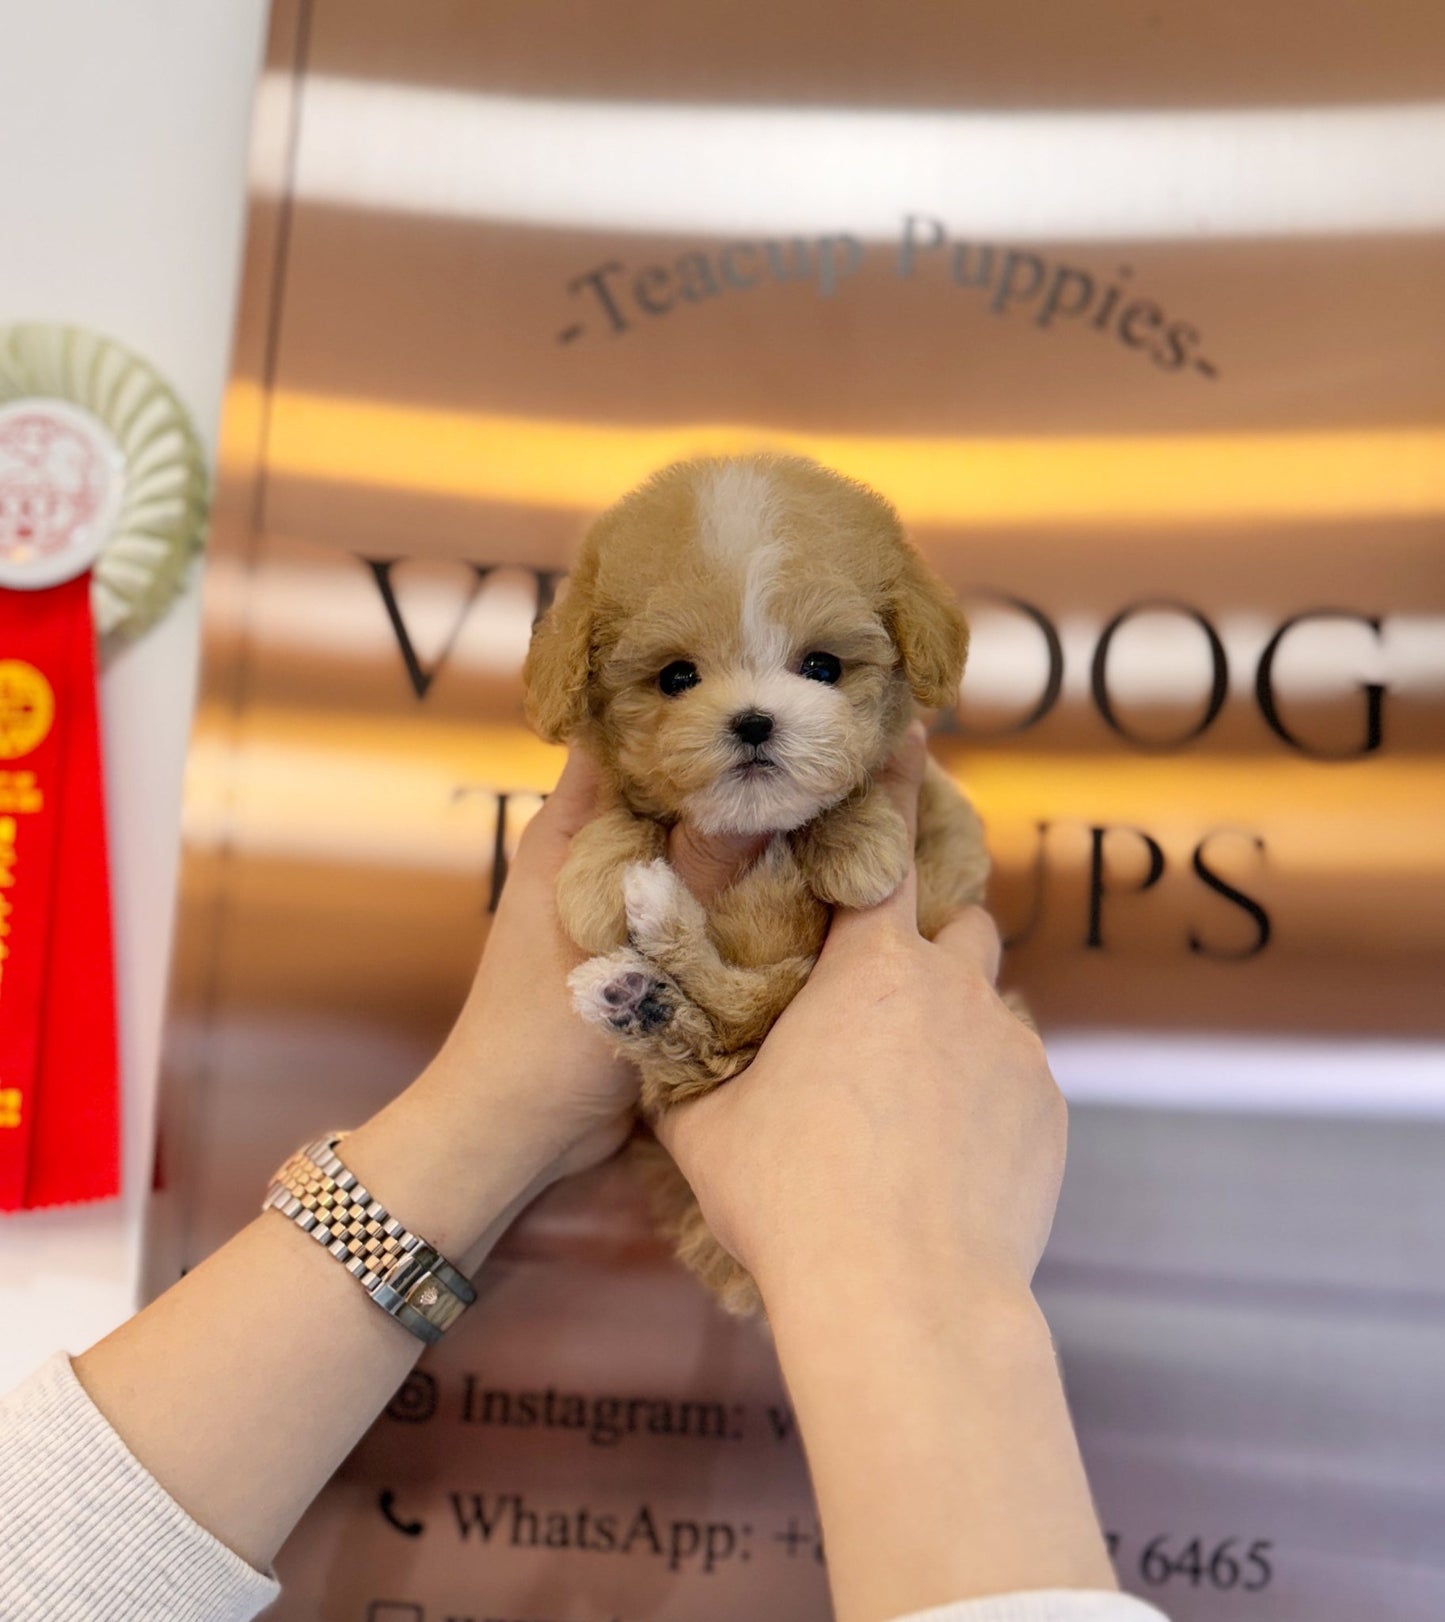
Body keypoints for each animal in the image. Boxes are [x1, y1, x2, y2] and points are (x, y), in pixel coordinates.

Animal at [528, 454, 992, 1317]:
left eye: (822, 667)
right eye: (676, 676)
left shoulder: (949, 846)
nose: (751, 721)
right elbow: (621, 812)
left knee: (734, 1018)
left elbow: (874, 800)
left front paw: (856, 838)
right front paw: (599, 876)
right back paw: (635, 985)